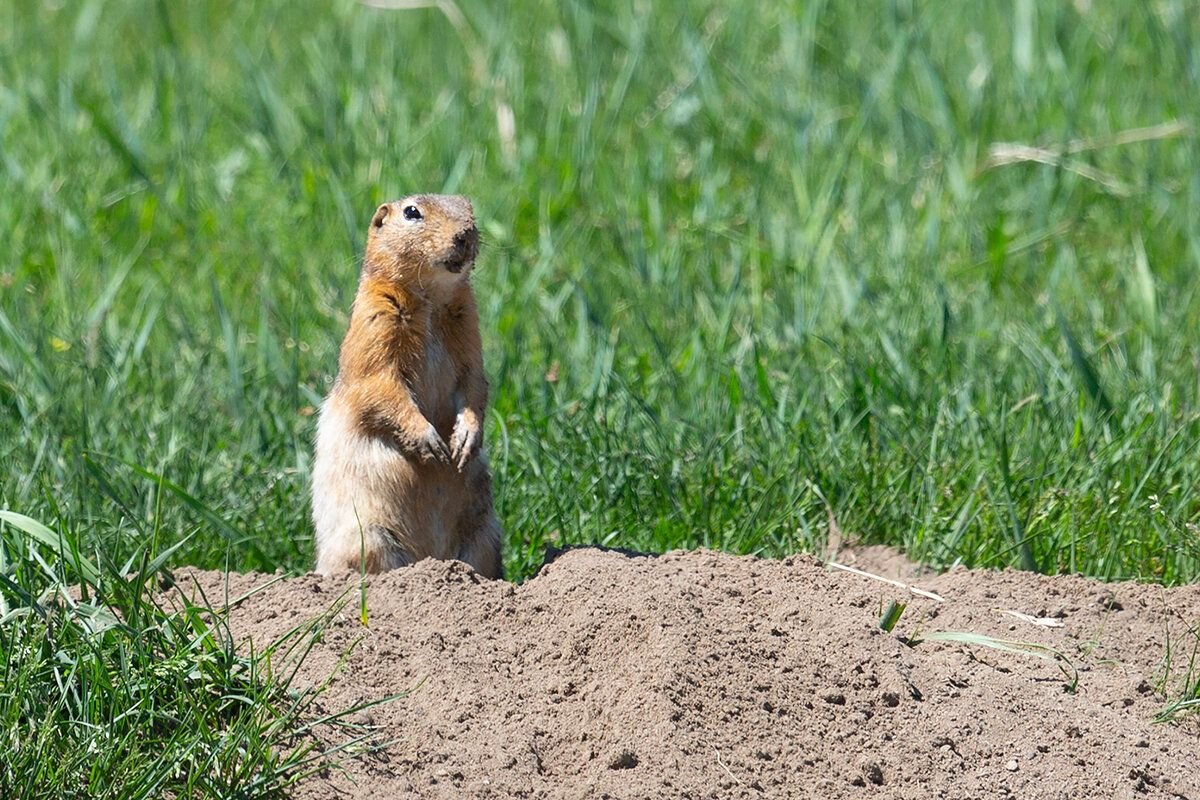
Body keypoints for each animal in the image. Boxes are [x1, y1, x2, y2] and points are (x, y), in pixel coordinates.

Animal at [314, 194, 501, 582]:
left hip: (483, 536)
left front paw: (464, 441)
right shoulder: (375, 323)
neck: (430, 299)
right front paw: (431, 444)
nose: (465, 234)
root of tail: (430, 557)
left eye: (468, 207)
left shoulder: (469, 327)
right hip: (369, 539)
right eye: (412, 212)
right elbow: (382, 386)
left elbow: (474, 383)